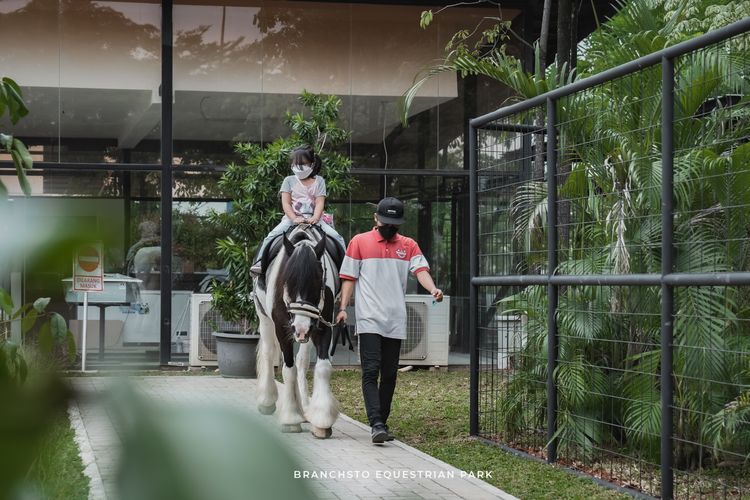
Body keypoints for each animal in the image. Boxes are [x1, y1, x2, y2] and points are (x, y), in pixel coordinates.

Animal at [256, 226, 344, 438]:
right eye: (287, 282)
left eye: (318, 283)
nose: (301, 328)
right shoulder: (282, 329)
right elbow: (288, 370)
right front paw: (290, 419)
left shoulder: (322, 327)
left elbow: (322, 367)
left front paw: (321, 420)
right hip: (264, 319)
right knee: (269, 352)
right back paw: (267, 400)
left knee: (302, 362)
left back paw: (304, 406)